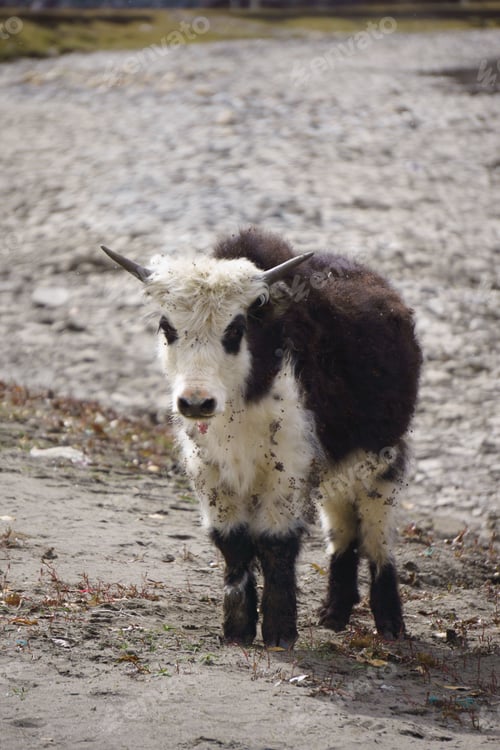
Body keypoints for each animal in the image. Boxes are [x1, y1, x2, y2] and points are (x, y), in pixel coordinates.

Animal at [101, 228, 422, 649]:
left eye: (236, 330)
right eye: (167, 328)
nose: (196, 403)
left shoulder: (288, 465)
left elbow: (275, 542)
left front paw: (279, 632)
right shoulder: (209, 470)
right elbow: (232, 541)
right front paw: (237, 629)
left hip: (380, 456)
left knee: (376, 530)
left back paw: (390, 623)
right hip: (334, 466)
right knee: (341, 526)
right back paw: (333, 614)